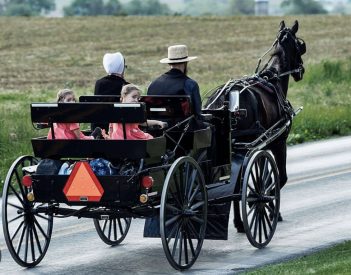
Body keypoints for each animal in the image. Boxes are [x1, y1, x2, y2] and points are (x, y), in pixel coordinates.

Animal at [205, 18, 306, 231]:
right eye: (300, 46)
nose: (301, 71)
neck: (274, 78)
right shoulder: (277, 142)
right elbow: (276, 178)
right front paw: (271, 208)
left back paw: (237, 221)